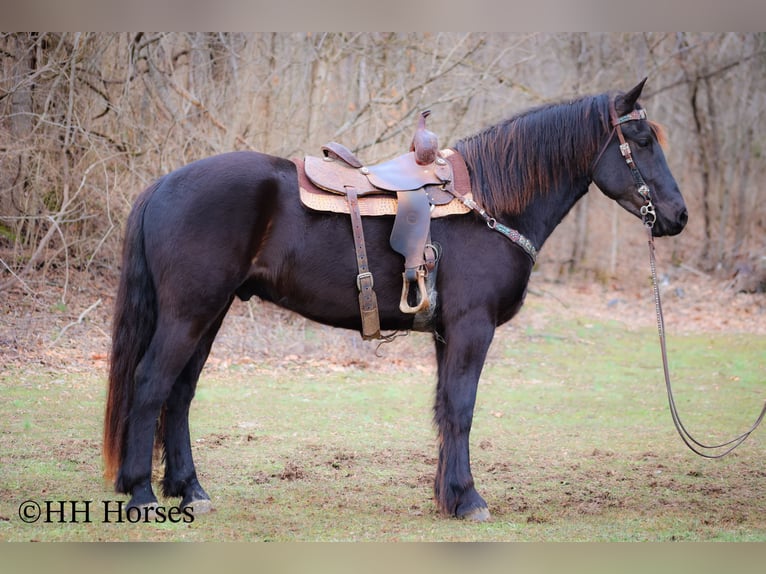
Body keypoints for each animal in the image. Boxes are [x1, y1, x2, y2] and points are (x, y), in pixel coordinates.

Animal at [103, 79, 688, 522]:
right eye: (640, 138)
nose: (678, 216)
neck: (491, 202)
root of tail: (163, 185)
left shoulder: (449, 332)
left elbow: (445, 408)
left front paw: (448, 496)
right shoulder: (473, 327)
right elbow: (461, 408)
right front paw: (468, 499)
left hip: (211, 313)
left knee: (179, 394)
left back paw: (190, 490)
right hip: (190, 312)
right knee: (151, 384)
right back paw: (141, 493)